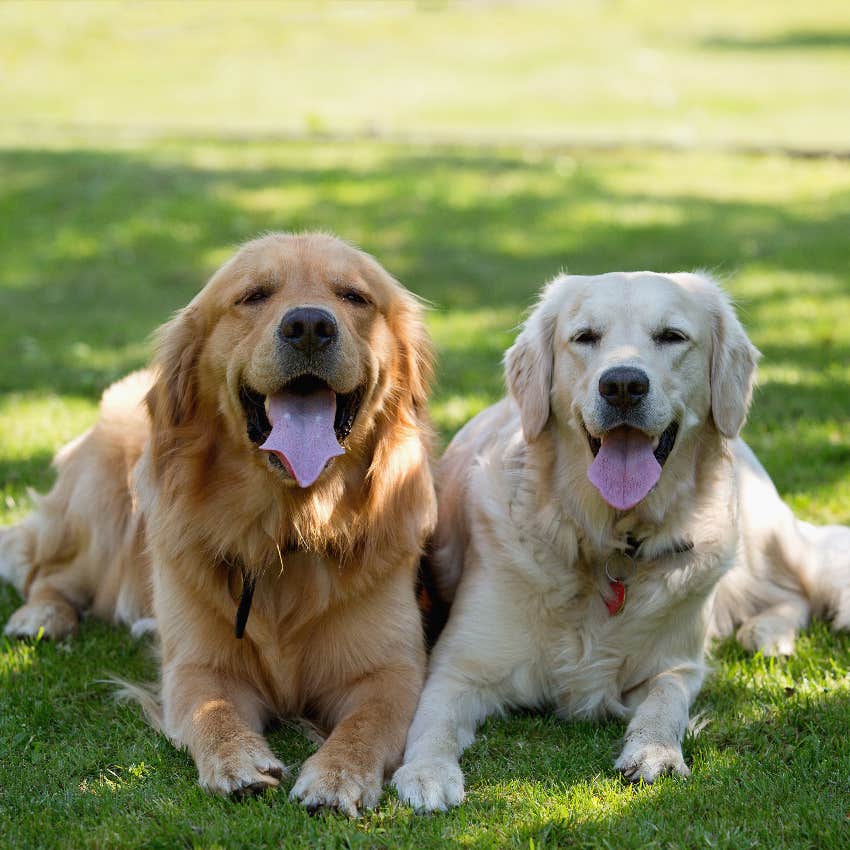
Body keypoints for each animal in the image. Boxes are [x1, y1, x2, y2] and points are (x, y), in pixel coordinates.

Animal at [0, 230, 434, 808]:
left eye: (354, 296)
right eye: (253, 296)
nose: (310, 326)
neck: (288, 527)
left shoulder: (392, 670)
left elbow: (367, 723)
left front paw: (337, 775)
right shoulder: (199, 666)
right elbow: (214, 710)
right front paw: (237, 760)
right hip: (96, 493)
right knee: (49, 572)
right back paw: (41, 615)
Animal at [392, 270, 848, 808]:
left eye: (672, 336)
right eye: (585, 337)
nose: (624, 385)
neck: (607, 543)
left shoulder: (676, 665)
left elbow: (666, 702)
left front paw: (656, 752)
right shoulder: (458, 666)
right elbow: (432, 723)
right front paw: (426, 771)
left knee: (799, 586)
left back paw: (768, 633)